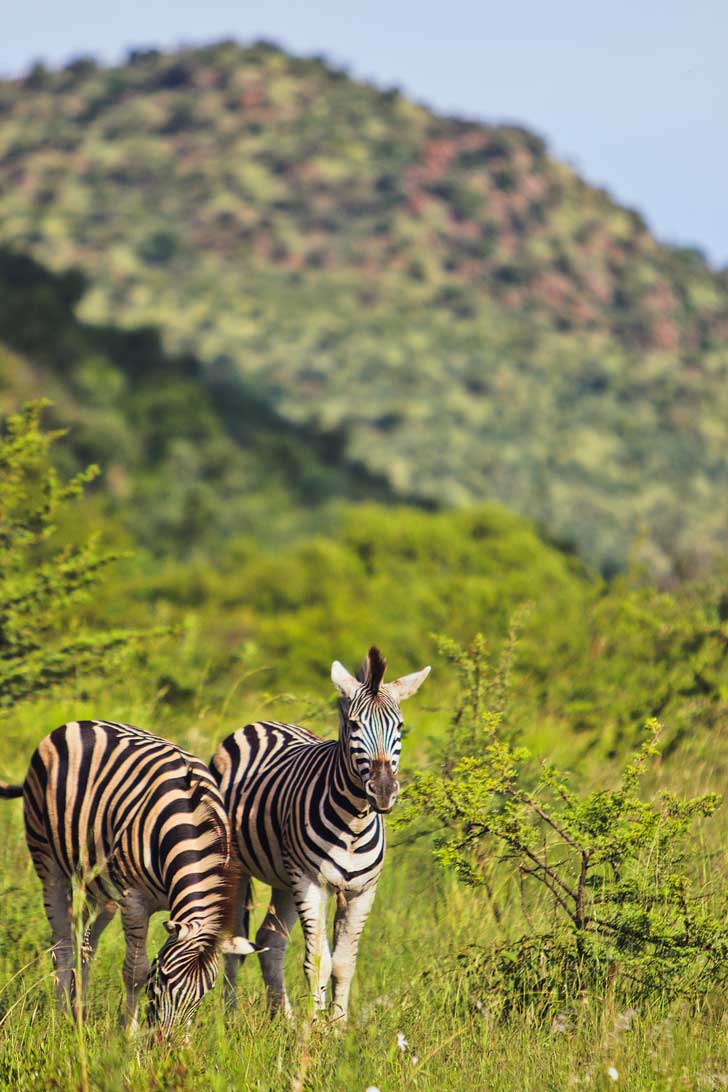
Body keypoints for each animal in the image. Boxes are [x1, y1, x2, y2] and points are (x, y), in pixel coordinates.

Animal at [0, 720, 256, 1026]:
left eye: (205, 993)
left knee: (84, 944)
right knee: (62, 943)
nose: (164, 1039)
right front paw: (128, 1031)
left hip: (100, 885)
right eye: (162, 979)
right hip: (47, 860)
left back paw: (79, 1013)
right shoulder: (134, 900)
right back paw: (63, 1016)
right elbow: (135, 971)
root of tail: (77, 723)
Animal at [210, 642, 430, 1017]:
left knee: (270, 940)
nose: (383, 791)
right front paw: (313, 1028)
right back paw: (230, 1015)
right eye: (354, 725)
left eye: (399, 726)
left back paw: (282, 1017)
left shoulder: (362, 891)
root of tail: (264, 723)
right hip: (241, 867)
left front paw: (337, 1024)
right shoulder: (312, 882)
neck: (355, 821)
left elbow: (344, 963)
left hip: (284, 878)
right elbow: (317, 962)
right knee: (232, 943)